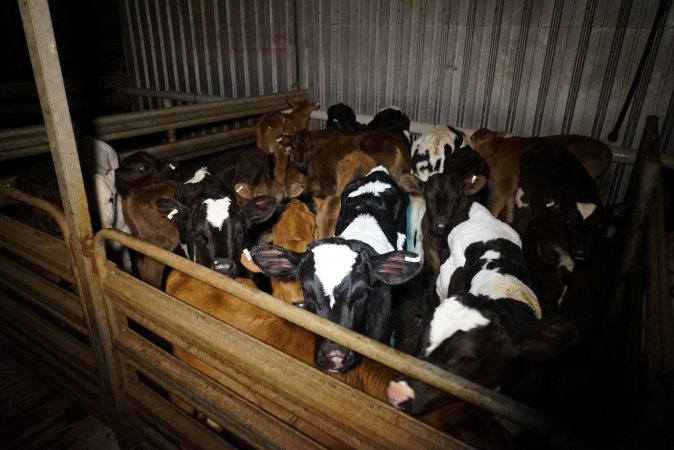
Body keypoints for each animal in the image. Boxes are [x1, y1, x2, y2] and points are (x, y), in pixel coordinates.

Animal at [470, 128, 612, 223]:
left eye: (473, 138)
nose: (470, 136)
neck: (497, 149)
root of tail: (605, 150)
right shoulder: (513, 185)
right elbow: (510, 204)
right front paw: (509, 221)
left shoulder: (504, 182)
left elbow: (497, 203)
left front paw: (492, 216)